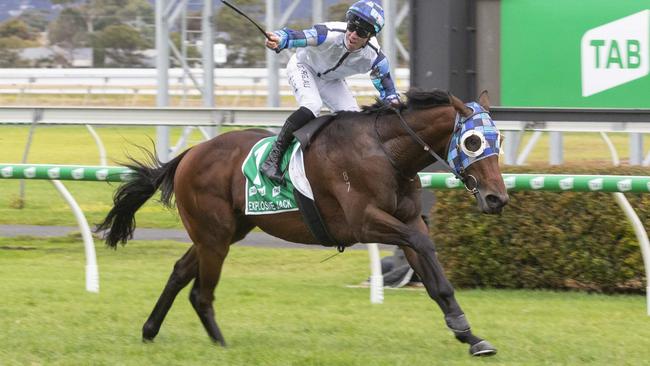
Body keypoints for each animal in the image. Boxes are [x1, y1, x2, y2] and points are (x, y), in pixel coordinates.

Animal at [98, 90, 508, 356]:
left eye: (499, 139)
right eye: (472, 141)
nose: (497, 198)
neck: (386, 152)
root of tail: (189, 154)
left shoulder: (407, 221)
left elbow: (438, 282)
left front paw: (469, 335)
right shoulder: (365, 222)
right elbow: (423, 245)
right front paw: (462, 329)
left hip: (225, 232)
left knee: (181, 271)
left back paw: (150, 331)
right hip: (214, 234)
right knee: (201, 291)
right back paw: (221, 345)